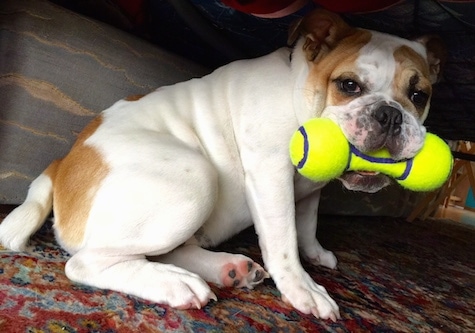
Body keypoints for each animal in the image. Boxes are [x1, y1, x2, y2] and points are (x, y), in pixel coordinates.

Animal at [0, 9, 446, 320]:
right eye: (349, 85)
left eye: (418, 95)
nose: (389, 115)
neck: (298, 89)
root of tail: (61, 163)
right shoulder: (270, 177)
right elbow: (284, 243)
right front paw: (303, 288)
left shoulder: (308, 192)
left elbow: (306, 225)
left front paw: (316, 252)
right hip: (195, 177)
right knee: (86, 262)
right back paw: (174, 285)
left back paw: (225, 270)